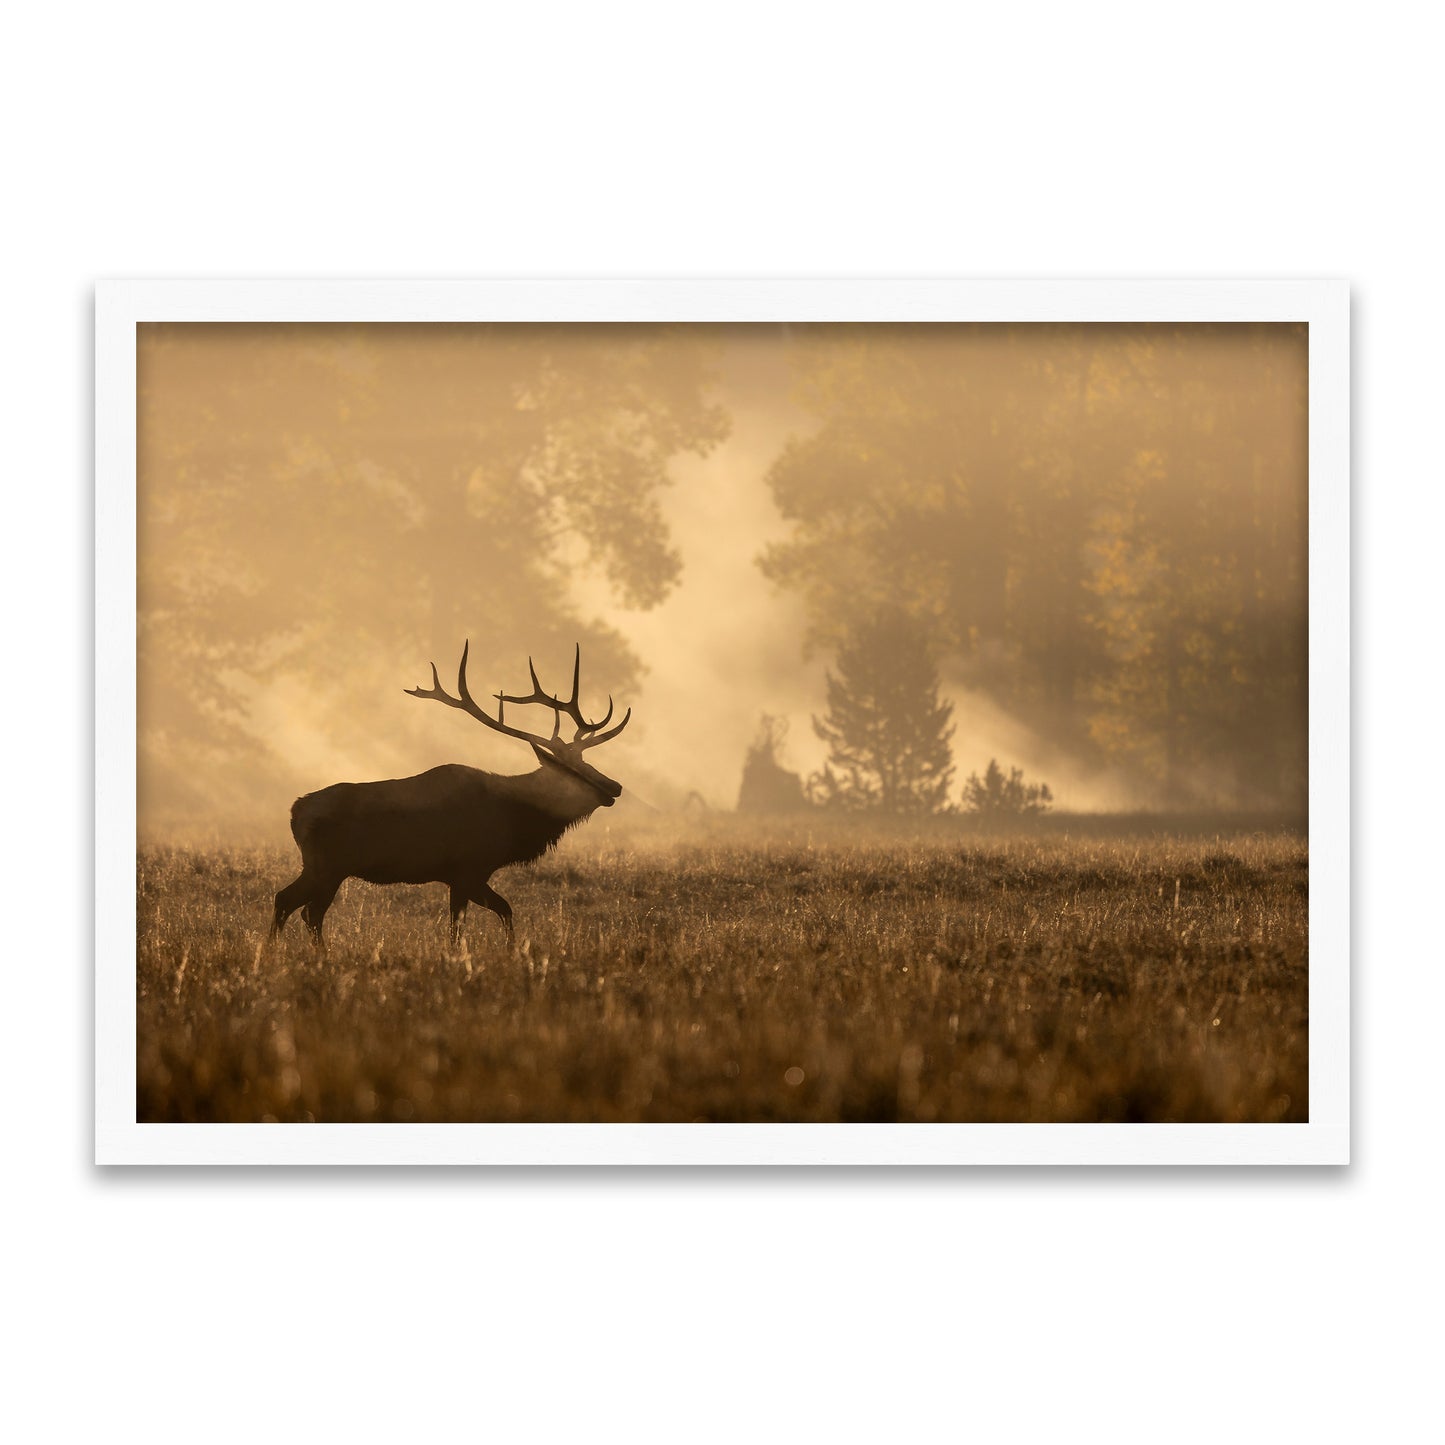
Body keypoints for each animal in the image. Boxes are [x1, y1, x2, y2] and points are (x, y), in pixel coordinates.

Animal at [270, 642, 630, 949]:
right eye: (572, 771)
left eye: (586, 762)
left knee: (290, 903)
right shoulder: (468, 869)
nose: (615, 787)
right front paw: (505, 953)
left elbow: (478, 920)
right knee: (303, 909)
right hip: (328, 866)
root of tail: (295, 811)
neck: (514, 821)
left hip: (319, 866)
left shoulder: (461, 877)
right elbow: (489, 916)